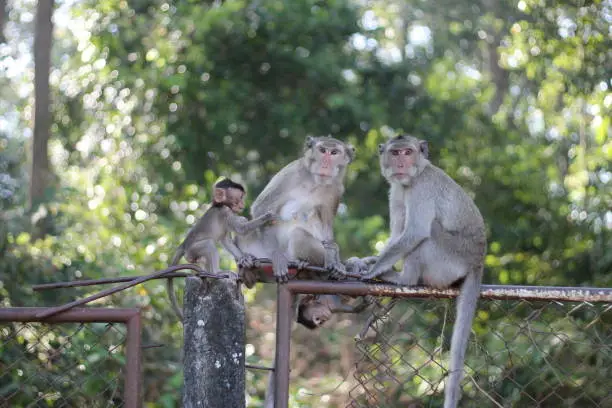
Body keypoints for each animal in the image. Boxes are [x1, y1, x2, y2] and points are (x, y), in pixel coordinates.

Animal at [166, 178, 274, 322]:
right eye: (239, 198)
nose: (242, 203)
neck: (220, 204)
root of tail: (183, 244)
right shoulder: (226, 212)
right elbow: (241, 229)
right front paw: (266, 217)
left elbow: (226, 240)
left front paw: (244, 258)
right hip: (193, 249)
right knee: (209, 244)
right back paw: (217, 272)